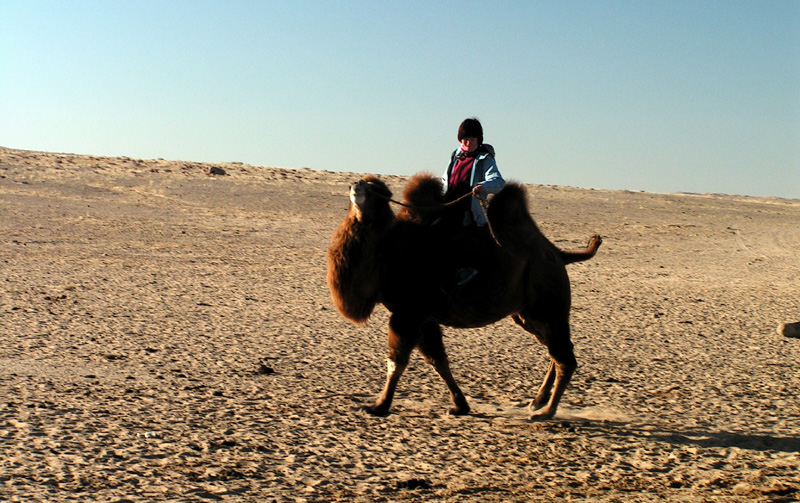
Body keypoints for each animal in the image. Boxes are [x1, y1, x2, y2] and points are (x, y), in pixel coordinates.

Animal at [324, 175, 600, 420]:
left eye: (375, 190)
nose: (356, 184)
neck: (386, 252)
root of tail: (558, 254)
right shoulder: (424, 317)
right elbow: (438, 361)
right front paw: (460, 406)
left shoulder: (408, 312)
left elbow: (397, 361)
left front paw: (379, 406)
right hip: (525, 314)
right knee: (556, 351)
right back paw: (538, 401)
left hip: (547, 304)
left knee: (565, 358)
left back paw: (546, 412)